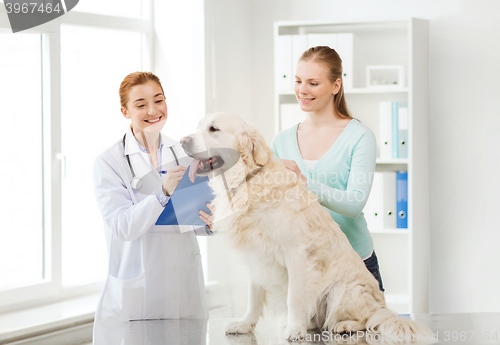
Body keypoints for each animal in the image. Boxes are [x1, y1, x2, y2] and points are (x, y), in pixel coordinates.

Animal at [180, 112, 430, 342]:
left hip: (346, 291)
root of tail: (384, 306)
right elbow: (253, 297)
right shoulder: (255, 256)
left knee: (369, 319)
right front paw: (244, 324)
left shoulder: (296, 254)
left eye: (214, 129)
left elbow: (294, 297)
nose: (183, 141)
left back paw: (345, 324)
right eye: (198, 126)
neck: (248, 180)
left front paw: (294, 330)